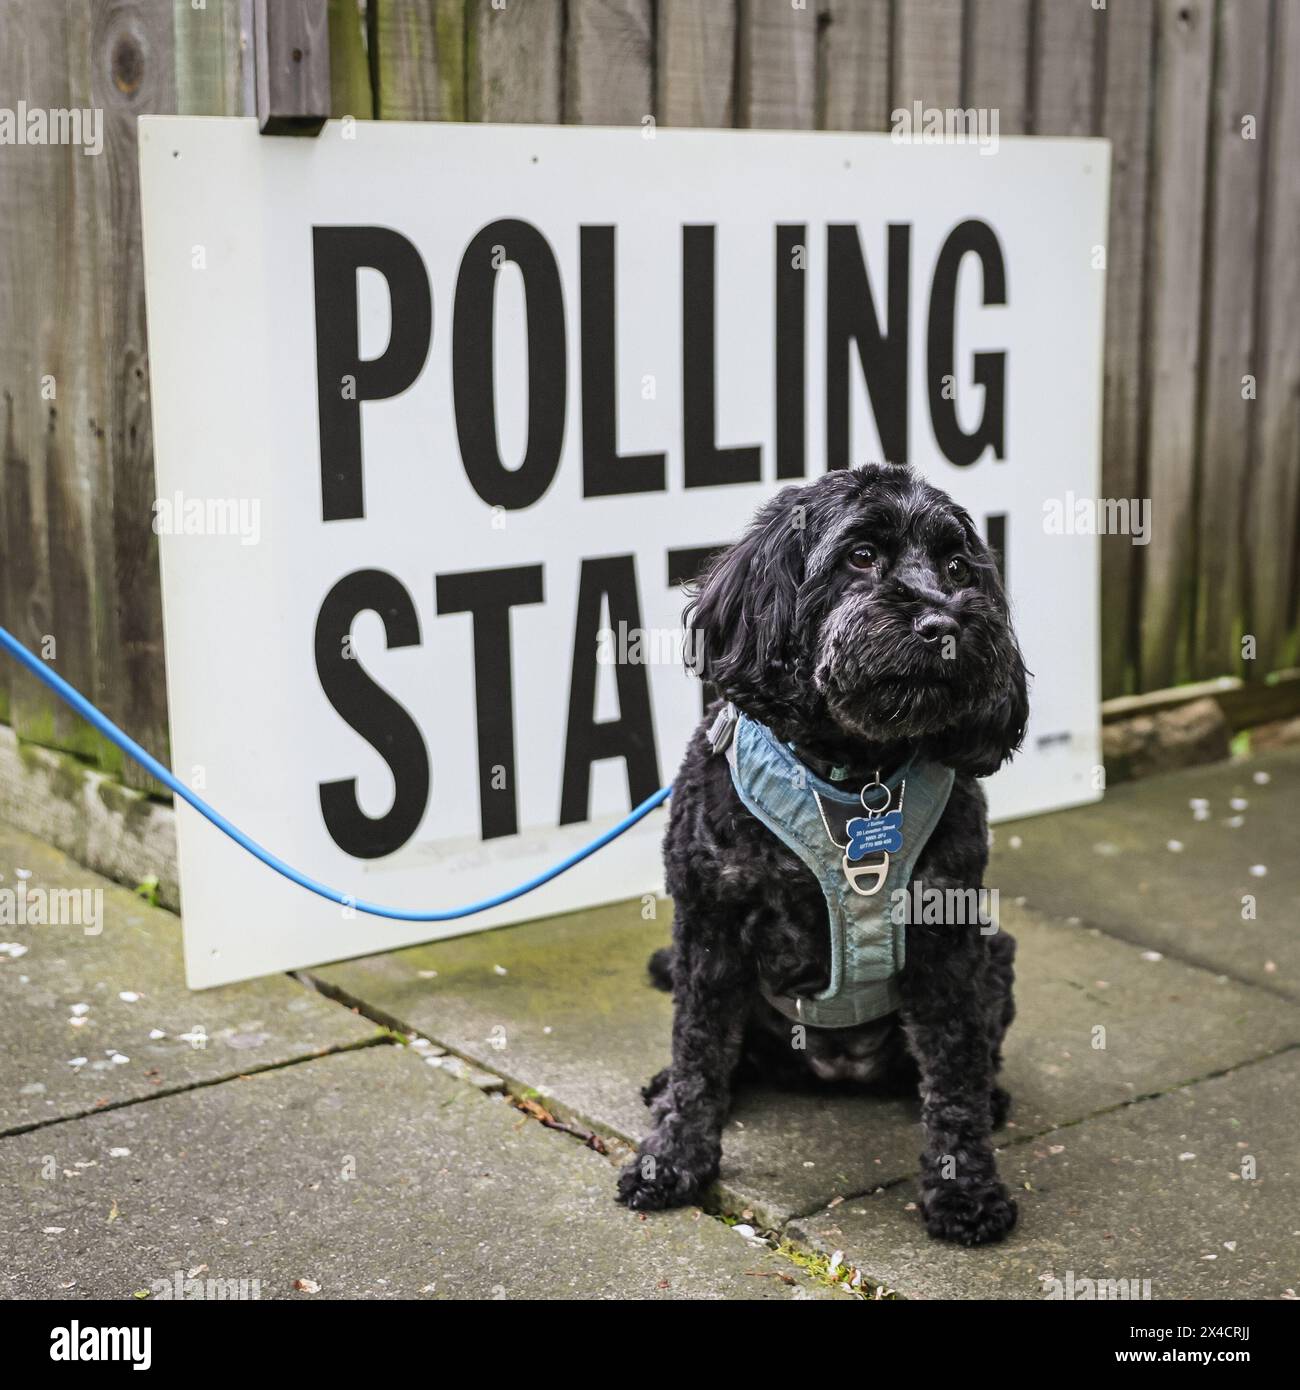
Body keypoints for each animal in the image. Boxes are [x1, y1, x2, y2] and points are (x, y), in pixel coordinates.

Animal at [614, 458, 1034, 1251]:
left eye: (958, 566)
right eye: (860, 555)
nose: (945, 622)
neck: (854, 768)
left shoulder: (948, 941)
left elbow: (954, 1077)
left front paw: (965, 1189)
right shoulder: (709, 924)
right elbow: (697, 1052)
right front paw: (673, 1158)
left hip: (995, 953)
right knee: (719, 1053)